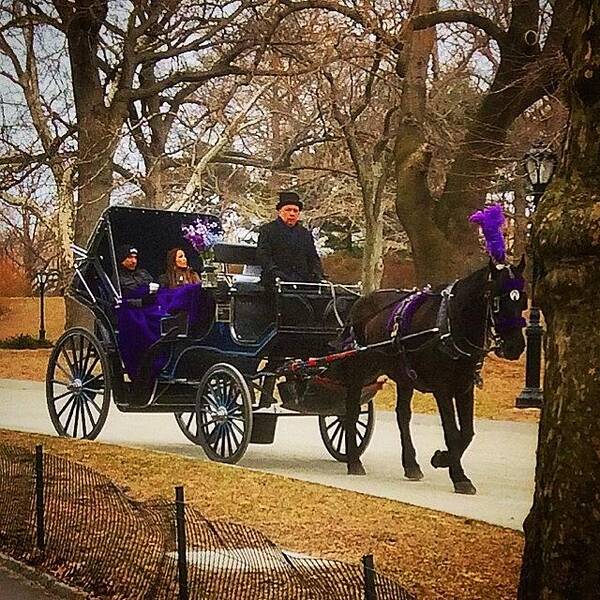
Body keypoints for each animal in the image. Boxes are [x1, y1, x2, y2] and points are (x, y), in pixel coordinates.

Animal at [332, 260, 524, 494]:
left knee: (402, 416)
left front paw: (443, 459)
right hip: (361, 370)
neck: (449, 325)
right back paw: (353, 460)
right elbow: (452, 432)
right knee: (351, 411)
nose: (516, 346)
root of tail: (360, 303)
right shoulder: (442, 388)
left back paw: (411, 464)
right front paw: (458, 476)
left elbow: (467, 433)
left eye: (522, 299)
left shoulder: (464, 386)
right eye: (497, 300)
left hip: (403, 375)